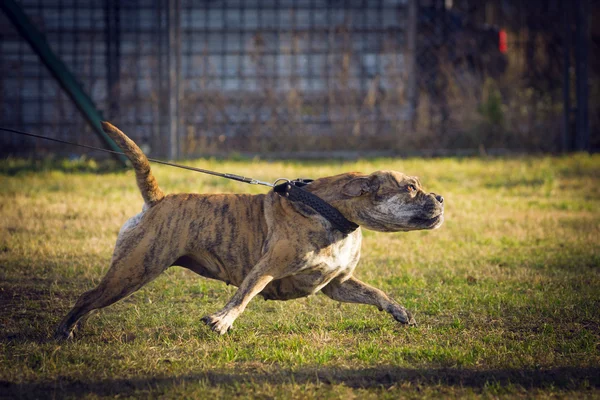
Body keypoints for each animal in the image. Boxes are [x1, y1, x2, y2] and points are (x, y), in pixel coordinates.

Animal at [54, 121, 442, 338]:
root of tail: (157, 200)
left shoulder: (337, 284)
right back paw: (63, 332)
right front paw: (222, 321)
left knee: (91, 300)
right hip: (135, 269)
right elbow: (243, 295)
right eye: (410, 187)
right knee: (86, 297)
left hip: (130, 272)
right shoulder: (267, 267)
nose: (439, 197)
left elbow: (375, 293)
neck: (332, 212)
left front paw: (400, 312)